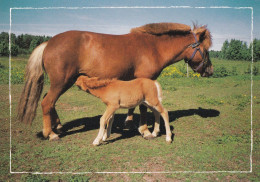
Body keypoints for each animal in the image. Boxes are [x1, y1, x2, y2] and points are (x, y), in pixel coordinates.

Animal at [17, 22, 213, 140]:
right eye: (206, 49)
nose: (210, 70)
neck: (153, 47)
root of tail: (48, 43)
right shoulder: (145, 79)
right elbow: (143, 107)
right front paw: (145, 130)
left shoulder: (134, 81)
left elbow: (134, 104)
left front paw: (129, 122)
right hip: (61, 82)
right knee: (47, 102)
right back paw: (50, 133)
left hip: (66, 81)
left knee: (49, 101)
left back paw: (57, 125)